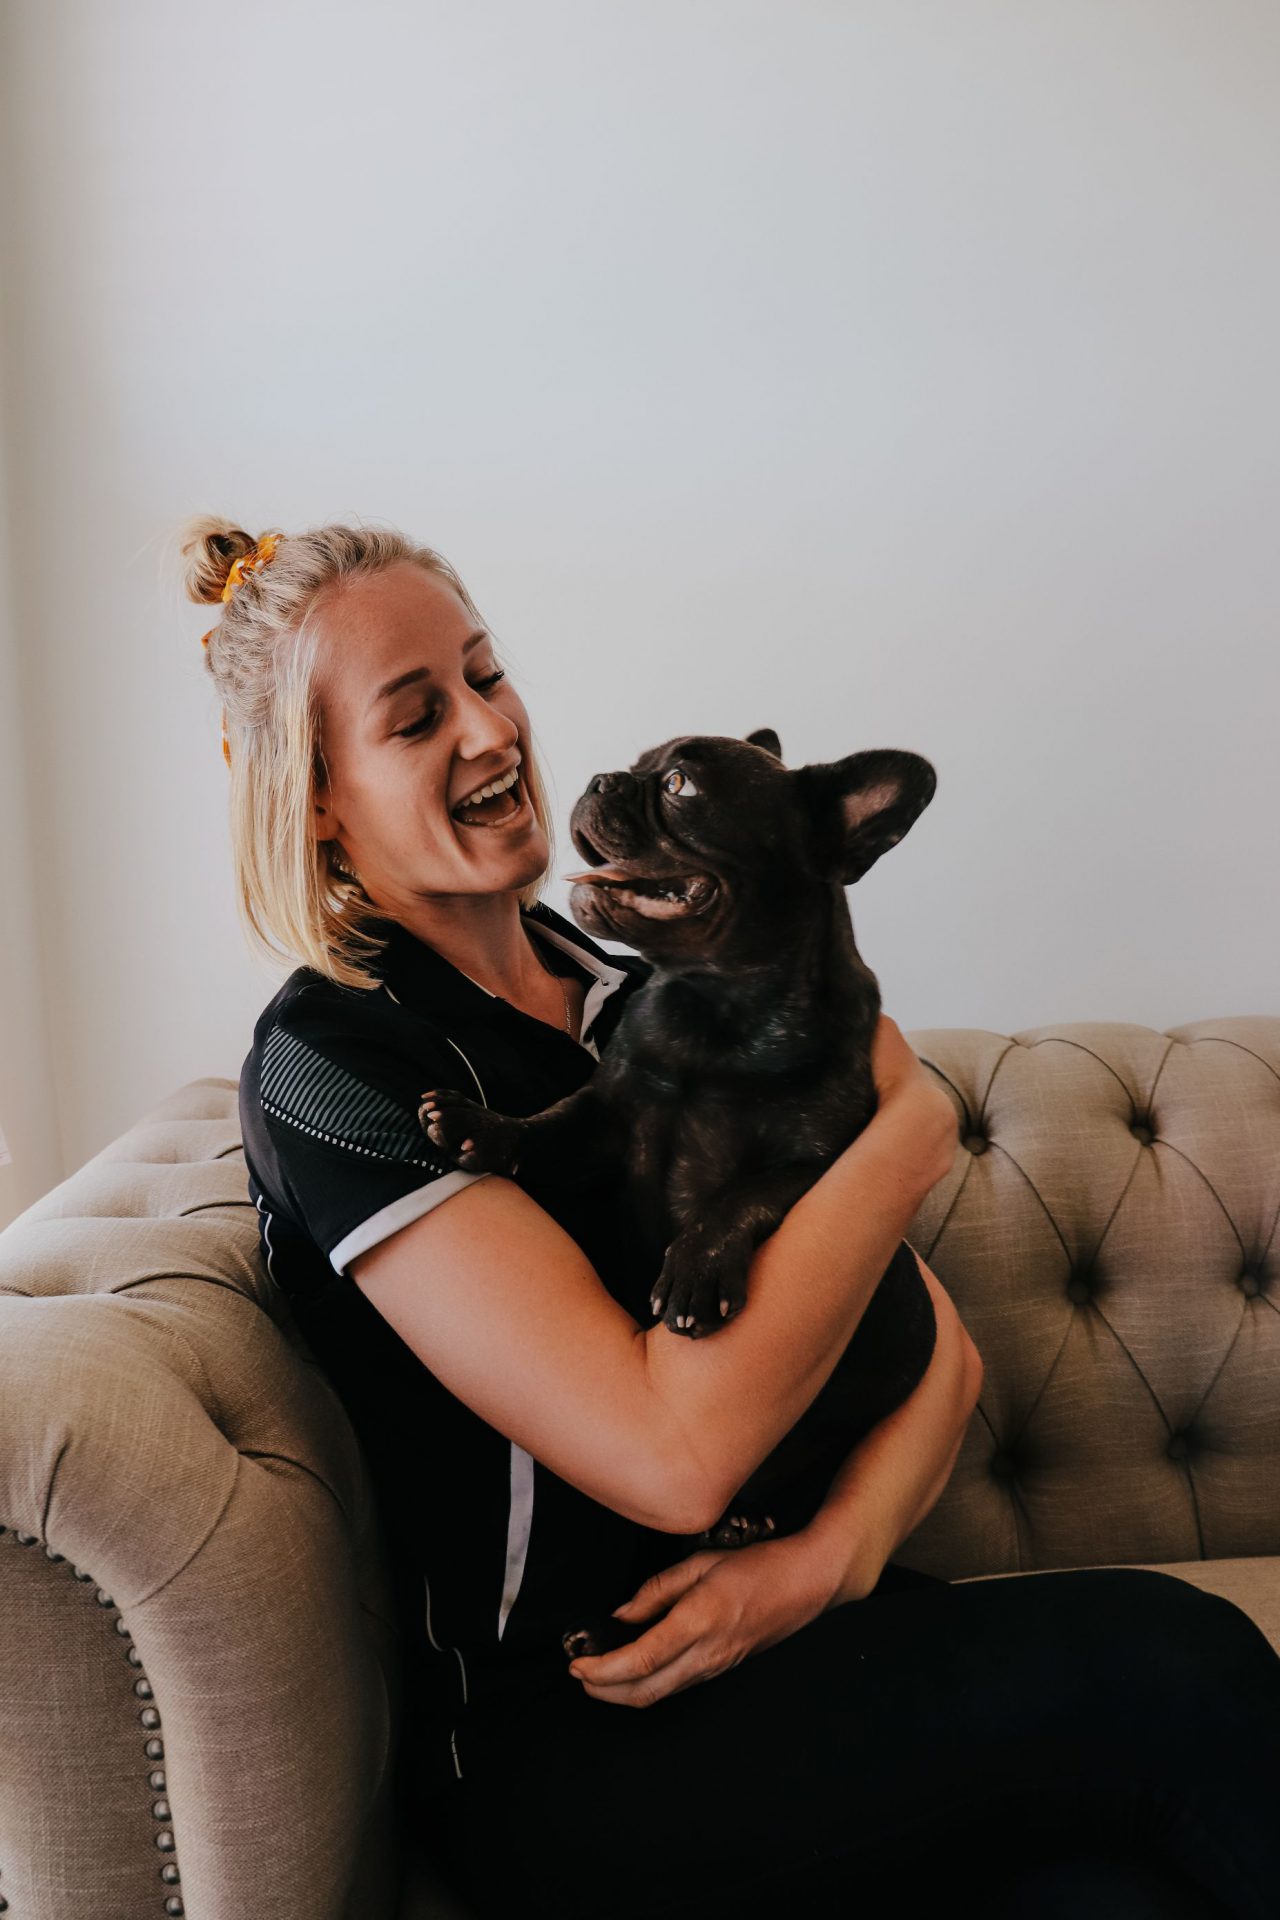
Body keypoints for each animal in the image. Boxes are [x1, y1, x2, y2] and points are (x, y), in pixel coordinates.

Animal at [420, 729, 940, 1651]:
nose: (601, 778)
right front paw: (482, 1127)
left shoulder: (830, 1160)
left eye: (681, 785)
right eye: (636, 765)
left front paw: (697, 1272)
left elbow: (748, 1192)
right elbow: (546, 1125)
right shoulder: (607, 1118)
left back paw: (739, 1531)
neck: (717, 1010)